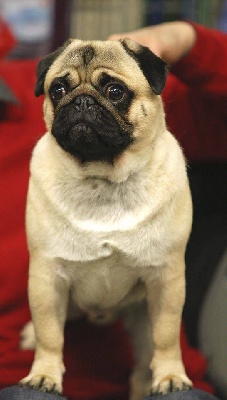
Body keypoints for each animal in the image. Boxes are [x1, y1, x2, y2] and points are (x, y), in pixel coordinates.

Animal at [20, 38, 193, 400]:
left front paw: (171, 376)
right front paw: (44, 375)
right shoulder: (46, 276)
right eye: (57, 90)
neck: (101, 179)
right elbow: (49, 333)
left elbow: (167, 336)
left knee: (145, 358)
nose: (82, 101)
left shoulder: (167, 279)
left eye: (115, 92)